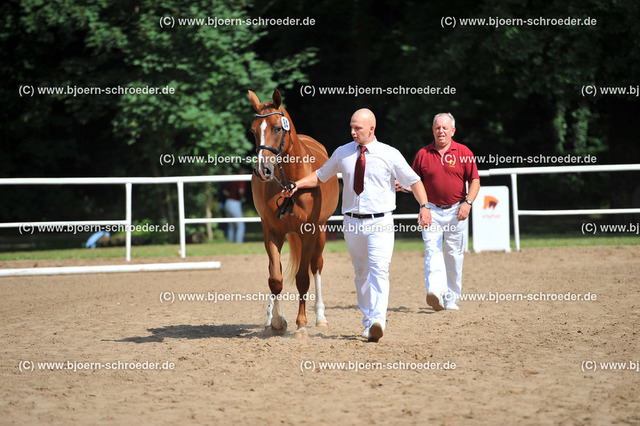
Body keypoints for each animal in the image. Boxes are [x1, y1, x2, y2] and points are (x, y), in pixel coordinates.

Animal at [249, 90, 340, 340]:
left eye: (277, 128)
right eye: (253, 130)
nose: (262, 170)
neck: (293, 179)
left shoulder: (308, 232)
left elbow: (302, 279)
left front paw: (301, 326)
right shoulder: (271, 232)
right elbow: (275, 279)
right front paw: (277, 321)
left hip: (321, 233)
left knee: (316, 266)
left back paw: (320, 317)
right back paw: (270, 317)